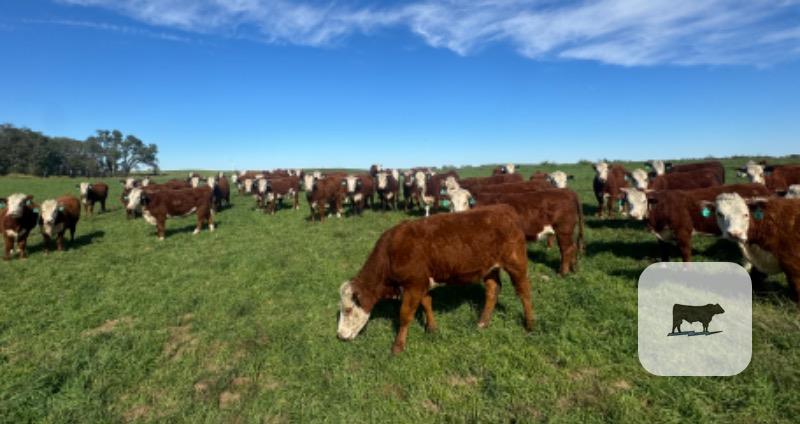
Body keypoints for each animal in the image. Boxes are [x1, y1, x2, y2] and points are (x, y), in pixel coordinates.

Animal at [336, 204, 534, 354]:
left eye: (348, 309)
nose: (339, 336)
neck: (391, 253)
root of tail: (504, 208)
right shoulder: (421, 282)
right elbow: (426, 303)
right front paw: (432, 329)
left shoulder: (413, 285)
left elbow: (405, 315)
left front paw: (398, 347)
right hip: (490, 268)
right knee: (493, 290)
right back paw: (482, 323)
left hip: (516, 263)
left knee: (524, 291)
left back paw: (530, 324)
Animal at [622, 184, 772, 262]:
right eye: (628, 201)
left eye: (643, 201)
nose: (634, 215)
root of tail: (761, 187)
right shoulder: (662, 235)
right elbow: (664, 254)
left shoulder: (683, 232)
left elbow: (686, 254)